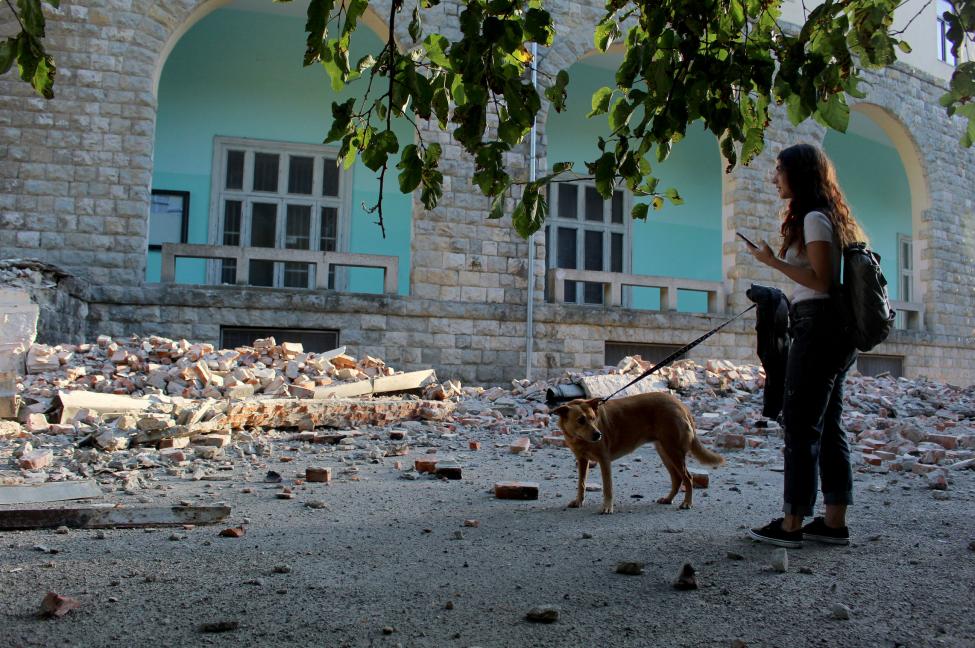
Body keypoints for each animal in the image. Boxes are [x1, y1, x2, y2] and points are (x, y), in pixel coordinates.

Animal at [552, 392, 720, 512]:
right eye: (581, 420)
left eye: (593, 418)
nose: (598, 435)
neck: (579, 439)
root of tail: (680, 404)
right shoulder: (582, 460)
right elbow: (581, 483)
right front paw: (579, 501)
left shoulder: (604, 460)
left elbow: (607, 487)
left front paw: (607, 507)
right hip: (665, 452)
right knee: (677, 478)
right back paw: (668, 499)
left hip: (673, 451)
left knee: (688, 477)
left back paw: (687, 503)